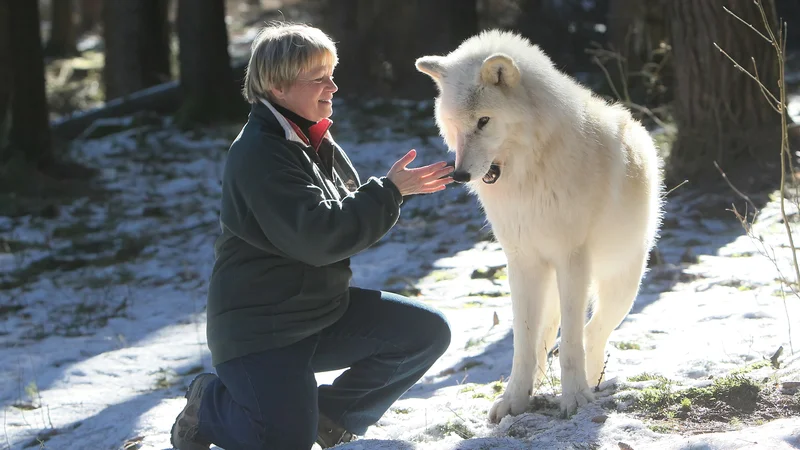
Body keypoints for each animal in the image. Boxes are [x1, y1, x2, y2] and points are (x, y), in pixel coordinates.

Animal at [416, 29, 664, 420]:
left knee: (591, 333)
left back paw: (592, 383)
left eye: (483, 121)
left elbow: (572, 342)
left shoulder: (571, 260)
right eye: (455, 124)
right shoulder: (522, 262)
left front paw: (575, 399)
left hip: (621, 285)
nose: (459, 175)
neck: (528, 173)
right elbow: (524, 343)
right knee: (546, 340)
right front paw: (514, 400)